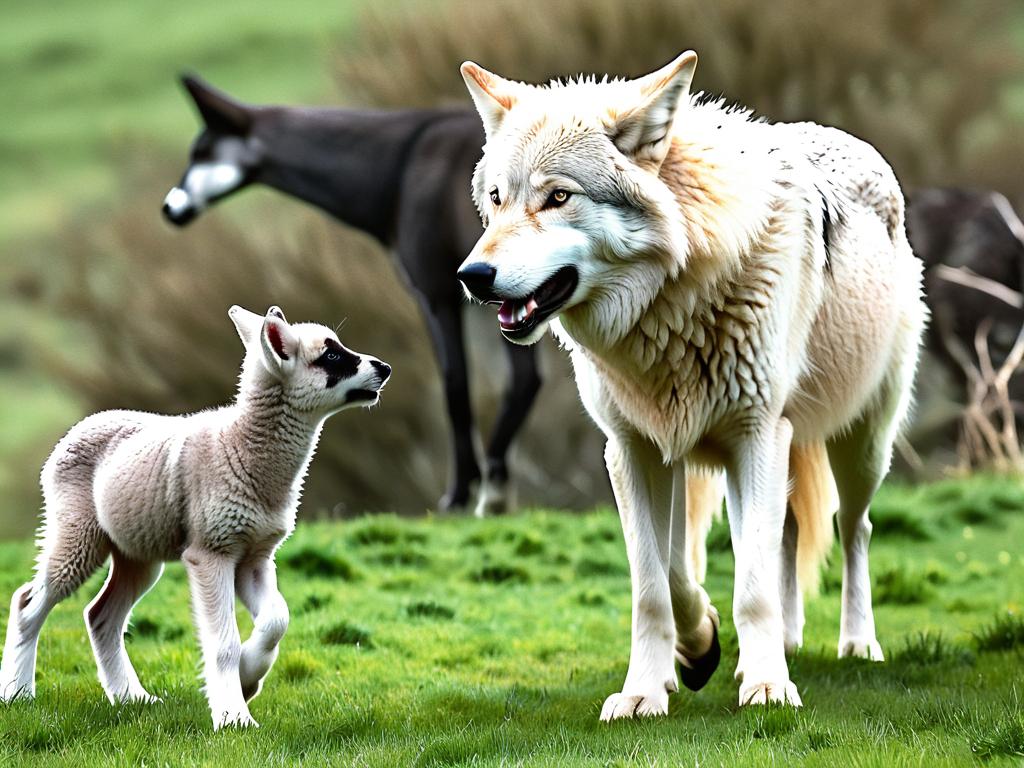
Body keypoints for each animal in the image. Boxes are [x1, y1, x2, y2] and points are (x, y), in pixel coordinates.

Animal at [0, 303, 391, 729]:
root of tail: (80, 426)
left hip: (137, 552)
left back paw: (133, 699)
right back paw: (17, 693)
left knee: (101, 617)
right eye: (331, 356)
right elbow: (224, 642)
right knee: (28, 602)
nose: (386, 367)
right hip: (77, 533)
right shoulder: (211, 552)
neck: (243, 446)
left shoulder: (255, 556)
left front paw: (248, 678)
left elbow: (277, 619)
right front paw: (233, 717)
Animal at [456, 51, 929, 720]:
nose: (472, 275)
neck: (670, 309)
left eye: (558, 197)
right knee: (781, 533)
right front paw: (663, 675)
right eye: (497, 200)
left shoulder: (757, 435)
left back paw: (855, 643)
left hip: (859, 442)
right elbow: (658, 581)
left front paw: (767, 686)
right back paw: (780, 641)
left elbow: (750, 584)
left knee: (852, 530)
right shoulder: (635, 449)